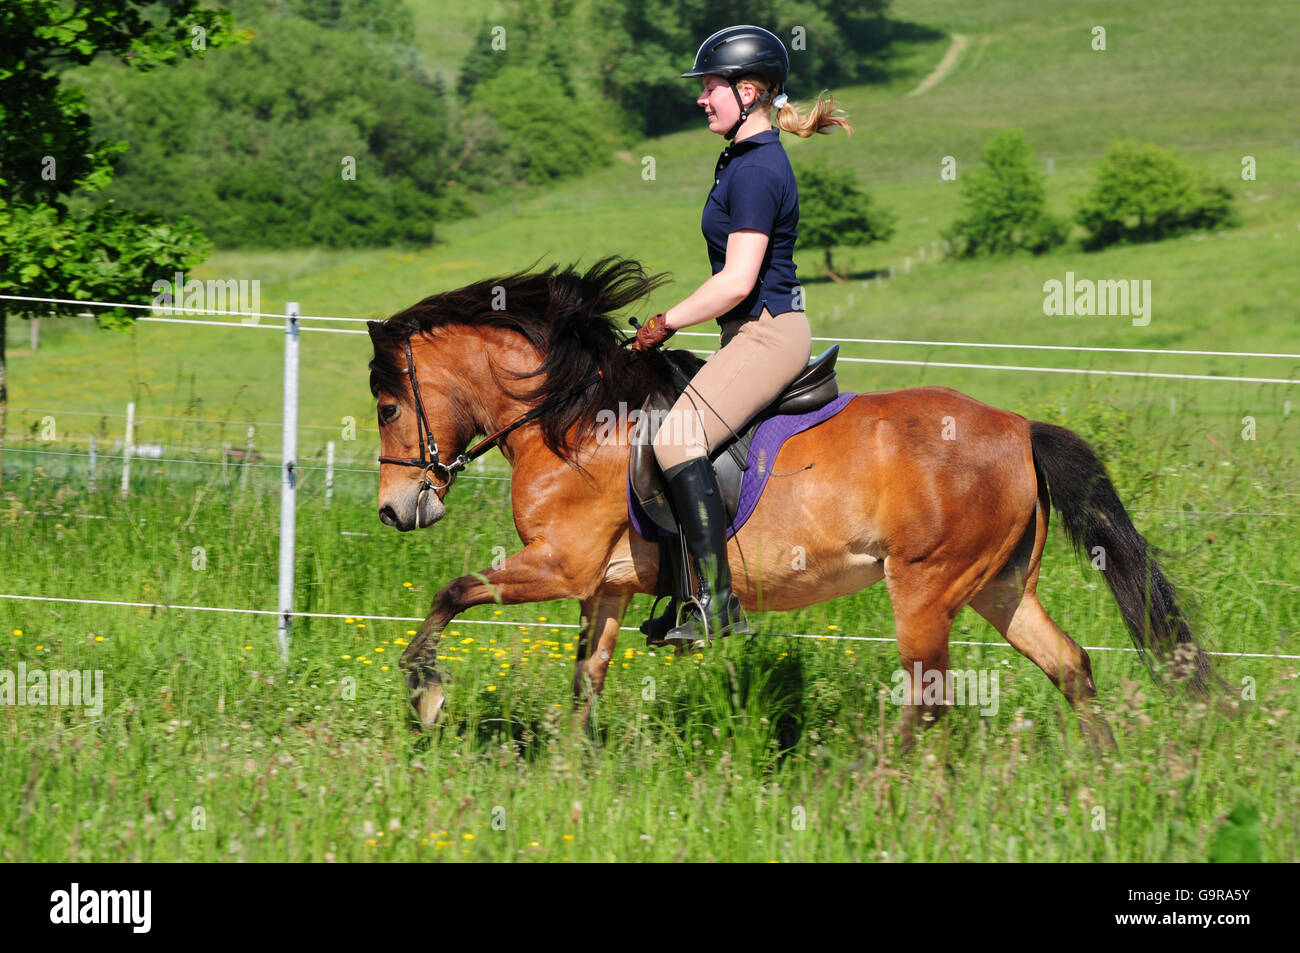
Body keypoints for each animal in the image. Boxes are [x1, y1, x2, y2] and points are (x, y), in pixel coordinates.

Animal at [366, 256, 1213, 749]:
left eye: (385, 405)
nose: (396, 509)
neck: (572, 414)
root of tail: (1015, 427)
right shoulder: (604, 586)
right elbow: (586, 681)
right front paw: (570, 779)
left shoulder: (559, 565)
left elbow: (451, 592)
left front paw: (426, 697)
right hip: (997, 585)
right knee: (1069, 664)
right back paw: (1101, 776)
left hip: (925, 587)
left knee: (931, 698)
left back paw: (881, 787)